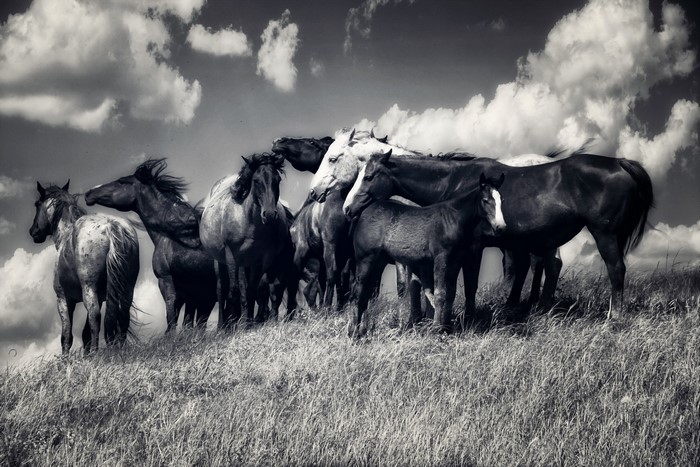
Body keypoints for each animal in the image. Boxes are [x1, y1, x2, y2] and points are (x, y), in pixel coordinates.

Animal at [30, 181, 140, 354]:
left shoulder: (64, 299)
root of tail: (111, 226)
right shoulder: (100, 298)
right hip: (127, 288)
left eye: (37, 204)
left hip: (89, 288)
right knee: (123, 314)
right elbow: (85, 333)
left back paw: (96, 352)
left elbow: (66, 336)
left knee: (95, 316)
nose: (33, 231)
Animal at [85, 159, 217, 333]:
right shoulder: (194, 293)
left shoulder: (167, 282)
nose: (89, 193)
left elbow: (172, 318)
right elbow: (190, 322)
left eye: (121, 181)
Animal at [200, 153, 299, 324]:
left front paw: (248, 323)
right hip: (220, 261)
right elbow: (235, 292)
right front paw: (237, 323)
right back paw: (223, 324)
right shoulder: (234, 257)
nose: (269, 215)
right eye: (256, 180)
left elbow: (254, 291)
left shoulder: (259, 261)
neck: (248, 222)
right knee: (222, 290)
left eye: (277, 180)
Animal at [343, 149, 654, 320]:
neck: (456, 183)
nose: (347, 208)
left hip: (606, 234)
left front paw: (467, 317)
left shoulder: (472, 248)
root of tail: (620, 163)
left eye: (368, 177)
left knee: (615, 270)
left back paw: (614, 317)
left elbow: (467, 285)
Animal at [349, 172, 506, 337]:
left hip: (379, 261)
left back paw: (363, 330)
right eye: (485, 200)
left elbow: (450, 293)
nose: (500, 227)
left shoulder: (456, 261)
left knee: (366, 292)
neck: (452, 220)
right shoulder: (441, 258)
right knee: (358, 291)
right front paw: (436, 329)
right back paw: (353, 332)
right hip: (365, 259)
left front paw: (446, 328)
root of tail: (365, 212)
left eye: (501, 200)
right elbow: (440, 293)